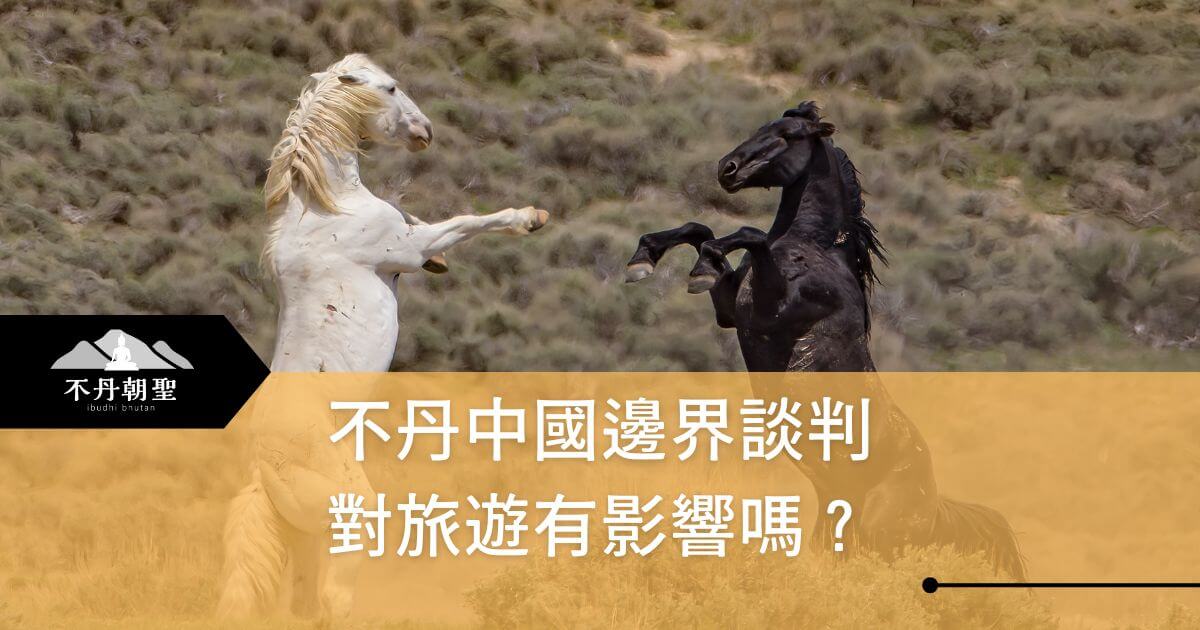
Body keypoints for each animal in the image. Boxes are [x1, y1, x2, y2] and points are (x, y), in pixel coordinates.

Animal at [216, 53, 550, 620]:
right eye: (391, 88)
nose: (425, 131)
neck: (326, 209)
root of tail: (265, 472)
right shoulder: (409, 246)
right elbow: (466, 221)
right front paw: (529, 218)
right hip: (348, 520)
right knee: (334, 601)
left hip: (304, 540)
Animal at [625, 102, 1026, 579]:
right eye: (762, 126)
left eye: (789, 134)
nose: (727, 169)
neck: (814, 248)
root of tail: (935, 505)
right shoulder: (732, 313)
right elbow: (701, 229)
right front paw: (645, 258)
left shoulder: (773, 307)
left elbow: (747, 235)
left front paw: (692, 262)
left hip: (881, 539)